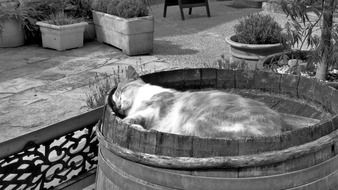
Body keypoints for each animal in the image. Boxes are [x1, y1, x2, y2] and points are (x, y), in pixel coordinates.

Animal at [112, 66, 284, 137]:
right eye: (113, 103)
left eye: (121, 91)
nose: (118, 107)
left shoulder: (153, 109)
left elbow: (131, 120)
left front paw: (132, 124)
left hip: (196, 124)